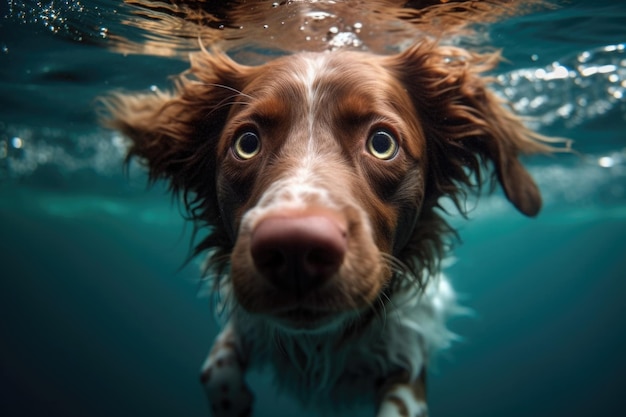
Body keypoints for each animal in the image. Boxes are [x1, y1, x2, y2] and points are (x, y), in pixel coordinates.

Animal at [100, 4, 564, 416]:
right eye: (246, 144)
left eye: (382, 142)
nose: (294, 250)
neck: (321, 345)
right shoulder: (247, 315)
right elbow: (217, 368)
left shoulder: (411, 354)